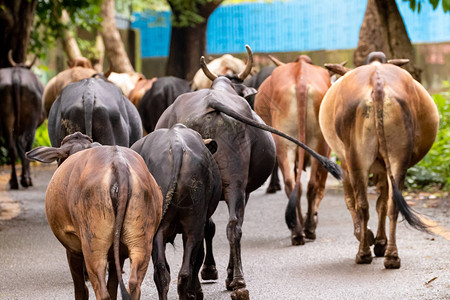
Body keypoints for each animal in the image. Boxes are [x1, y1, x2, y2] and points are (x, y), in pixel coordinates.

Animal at [0, 50, 44, 189]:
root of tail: (16, 75)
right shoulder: (34, 129)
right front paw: (27, 177)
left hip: (6, 121)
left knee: (11, 148)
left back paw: (14, 181)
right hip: (30, 122)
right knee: (23, 145)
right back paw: (25, 180)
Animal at [155, 45, 342, 300]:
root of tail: (212, 101)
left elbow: (209, 228)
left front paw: (211, 271)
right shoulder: (244, 191)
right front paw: (218, 272)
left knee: (214, 228)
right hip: (241, 181)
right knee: (235, 225)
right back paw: (238, 280)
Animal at [320, 52, 440, 270]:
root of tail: (377, 82)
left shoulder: (345, 165)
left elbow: (352, 202)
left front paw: (368, 236)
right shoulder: (383, 169)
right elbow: (382, 203)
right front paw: (380, 242)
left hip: (355, 160)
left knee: (362, 205)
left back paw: (363, 253)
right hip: (398, 159)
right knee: (393, 204)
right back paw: (392, 256)